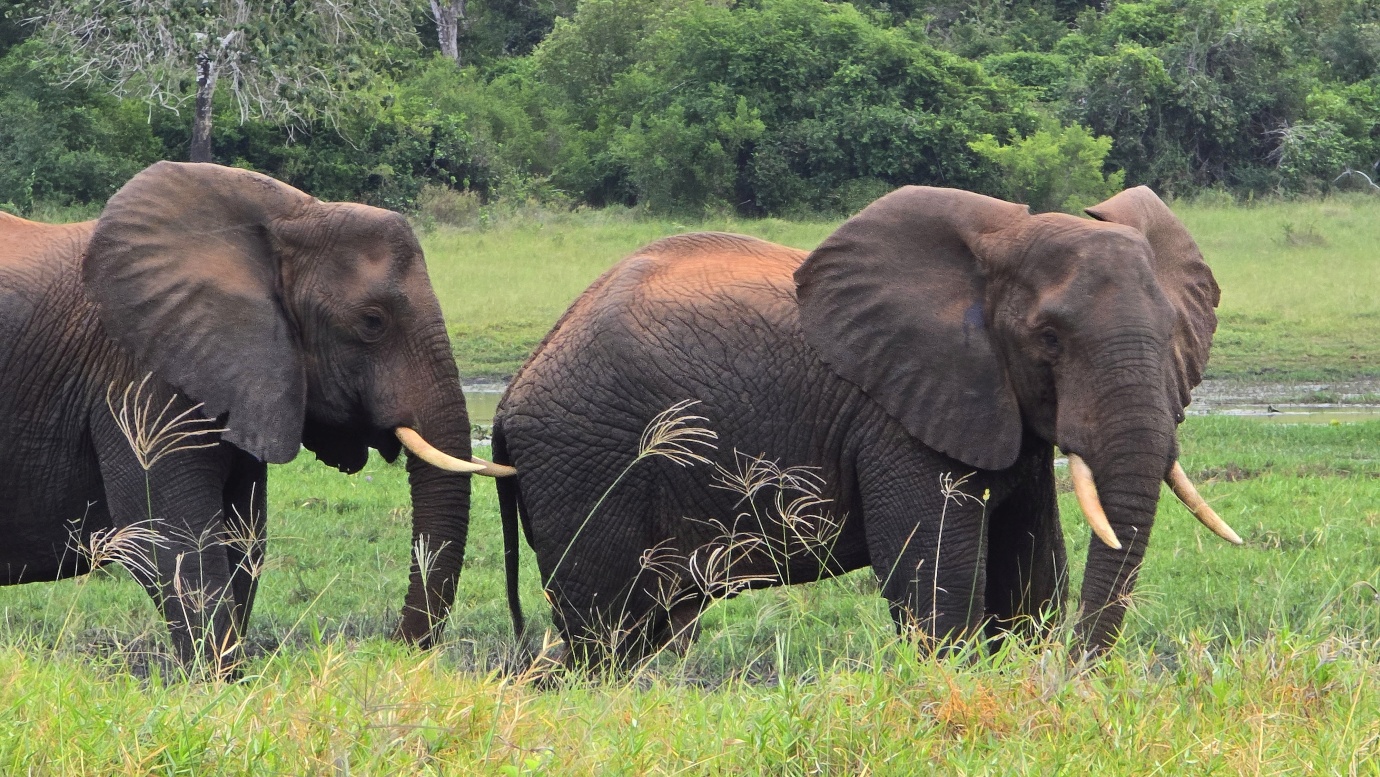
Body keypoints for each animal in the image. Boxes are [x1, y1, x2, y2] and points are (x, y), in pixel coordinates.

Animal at [0, 161, 510, 675]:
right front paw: (214, 684)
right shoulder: (137, 376)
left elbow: (243, 539)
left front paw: (227, 681)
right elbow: (173, 539)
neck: (288, 219)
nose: (393, 648)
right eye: (372, 322)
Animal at [492, 185, 1242, 666]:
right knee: (606, 632)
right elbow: (937, 584)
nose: (1075, 675)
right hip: (585, 462)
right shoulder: (898, 414)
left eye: (1173, 332)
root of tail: (511, 395)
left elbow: (1028, 579)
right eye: (1049, 339)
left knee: (640, 630)